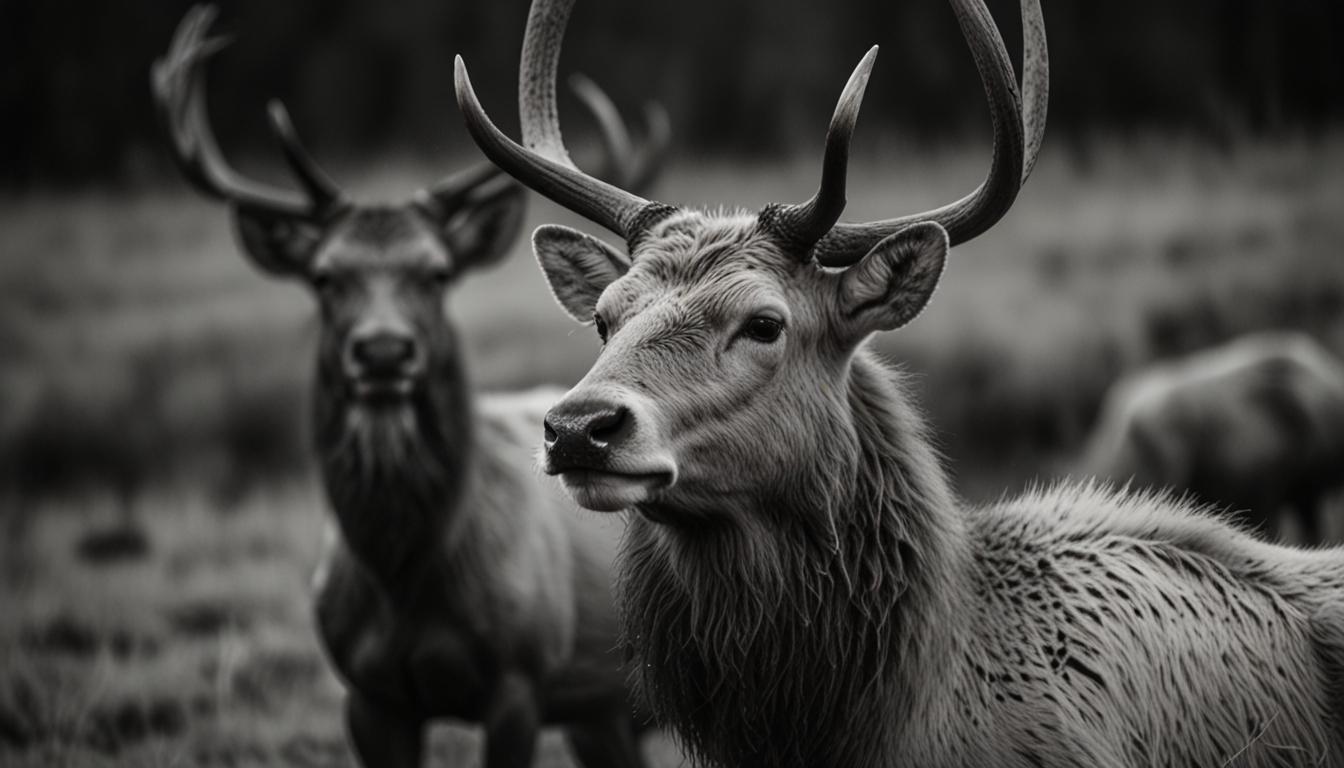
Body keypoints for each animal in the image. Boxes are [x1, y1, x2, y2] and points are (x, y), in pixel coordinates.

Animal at [152, 6, 668, 767]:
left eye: (437, 272)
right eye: (324, 276)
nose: (384, 351)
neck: (404, 581)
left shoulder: (521, 674)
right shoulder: (368, 695)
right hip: (600, 711)